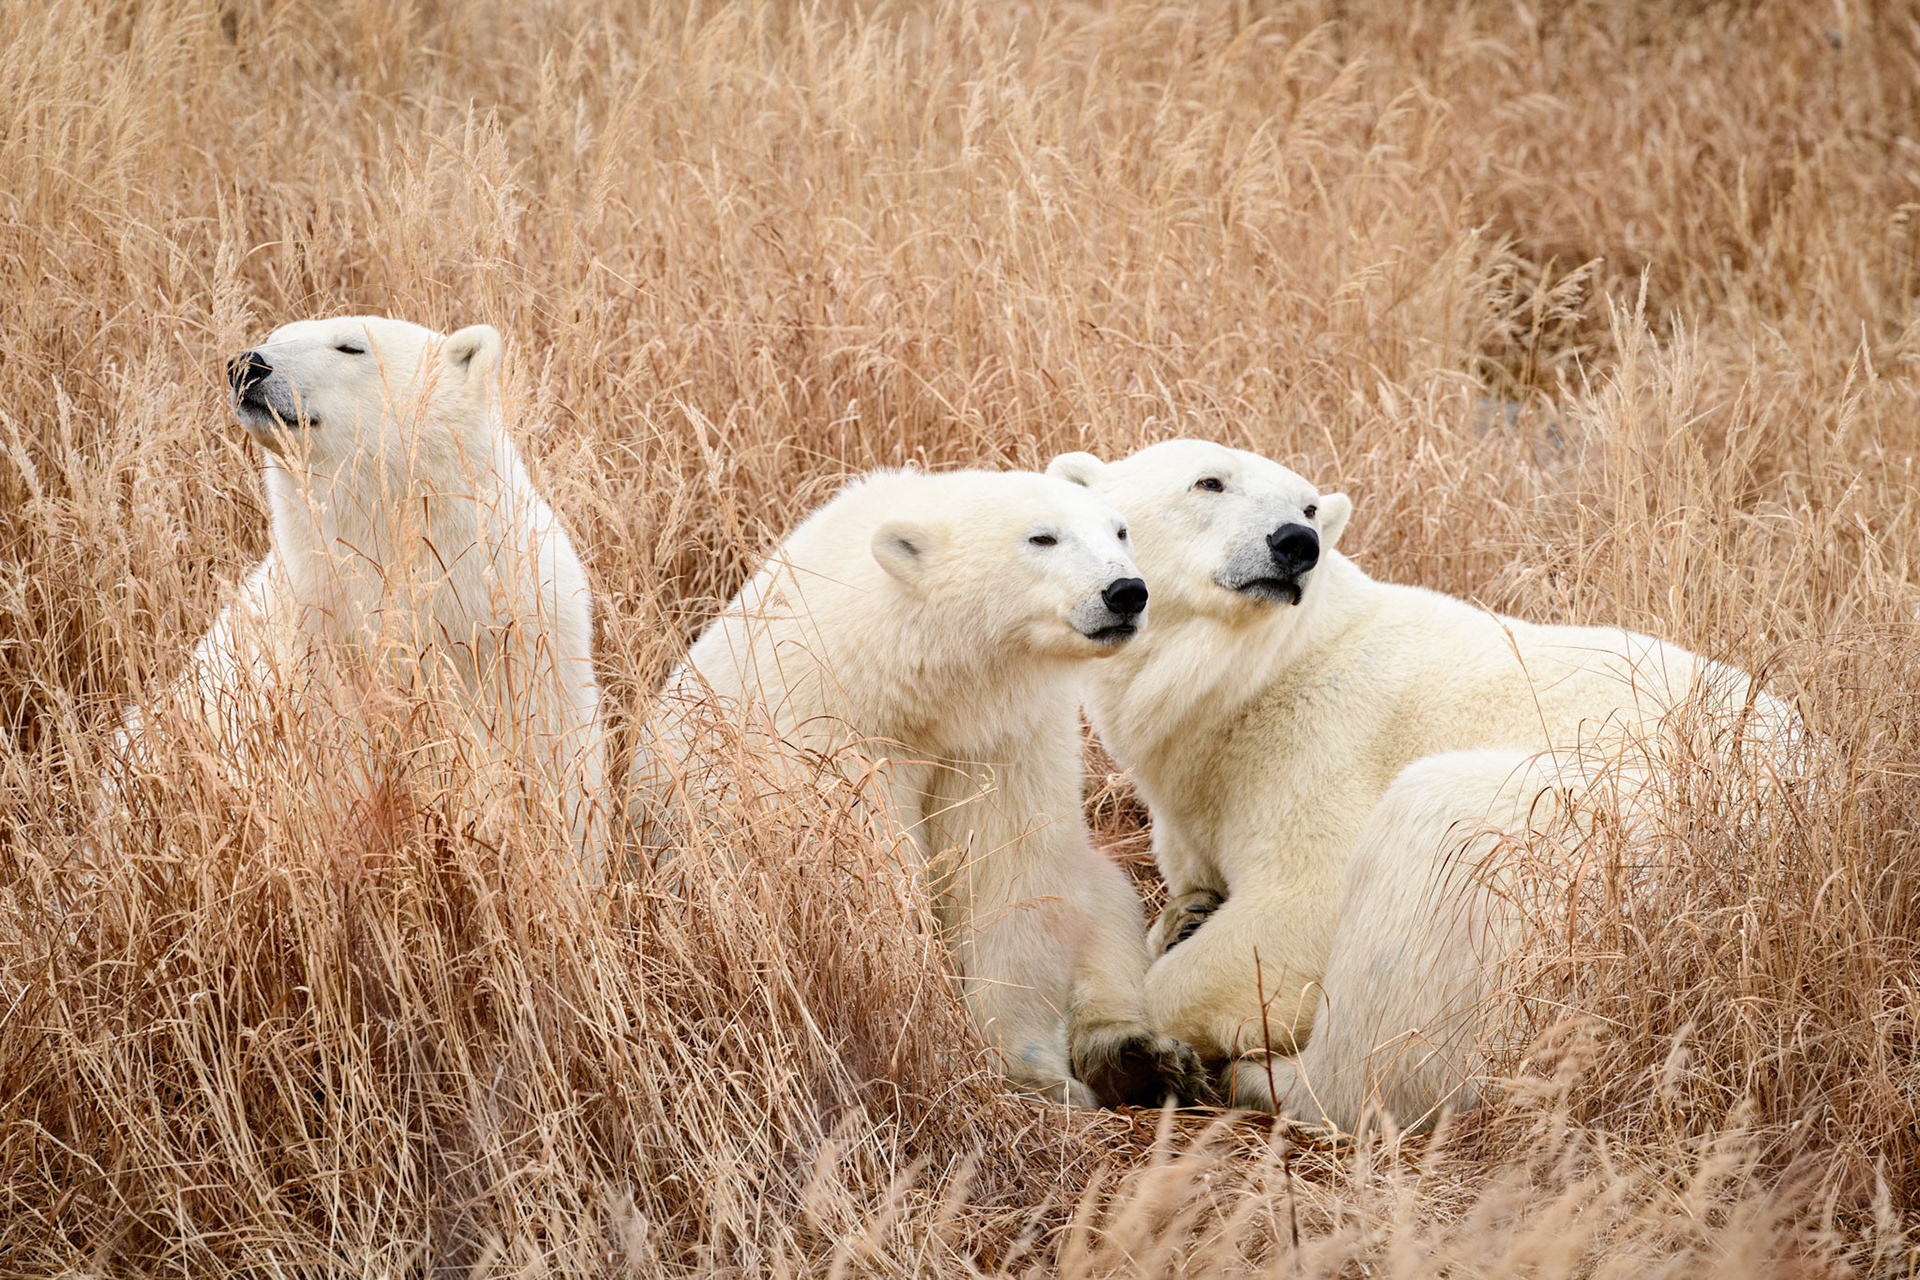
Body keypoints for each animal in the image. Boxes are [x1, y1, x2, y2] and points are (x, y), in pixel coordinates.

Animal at [638, 468, 1210, 1108]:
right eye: (1042, 538)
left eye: (1120, 530)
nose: (1126, 591)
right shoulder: (832, 736)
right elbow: (864, 887)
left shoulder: (1002, 740)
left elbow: (1006, 877)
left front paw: (1029, 1072)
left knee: (1107, 910)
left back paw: (1141, 1054)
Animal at [1047, 438, 1796, 1128]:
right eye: (1209, 482)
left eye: (1308, 506)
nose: (1296, 543)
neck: (1247, 683)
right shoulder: (1191, 801)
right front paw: (1184, 918)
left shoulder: (1323, 737)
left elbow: (1302, 906)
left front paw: (1129, 1039)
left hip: (1603, 837)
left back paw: (1259, 1079)